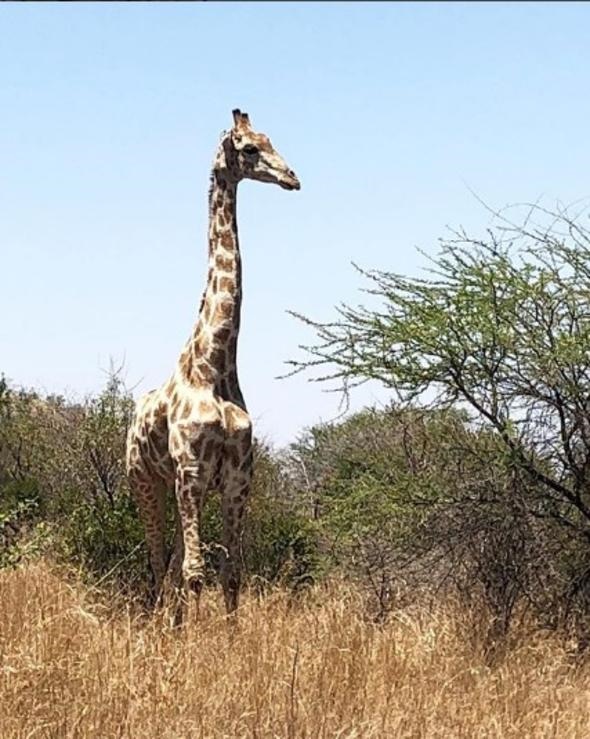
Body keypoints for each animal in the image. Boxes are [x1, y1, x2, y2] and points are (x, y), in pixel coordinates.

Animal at [125, 110, 300, 620]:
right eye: (248, 148)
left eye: (270, 139)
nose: (292, 177)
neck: (214, 365)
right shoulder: (191, 475)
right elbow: (195, 572)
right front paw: (193, 639)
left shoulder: (238, 481)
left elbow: (231, 573)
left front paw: (229, 635)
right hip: (145, 482)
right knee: (159, 562)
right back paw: (163, 624)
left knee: (171, 560)